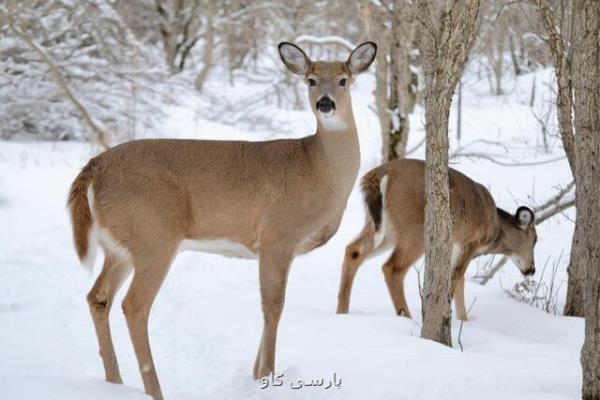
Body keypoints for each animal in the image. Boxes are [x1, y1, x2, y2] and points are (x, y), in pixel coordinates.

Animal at [68, 41, 378, 400]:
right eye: (311, 80)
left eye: (343, 80)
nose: (325, 103)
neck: (317, 170)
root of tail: (94, 167)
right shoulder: (278, 235)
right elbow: (273, 305)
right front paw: (267, 376)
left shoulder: (279, 247)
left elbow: (270, 304)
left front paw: (256, 376)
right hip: (154, 236)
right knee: (134, 305)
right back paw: (153, 390)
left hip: (119, 245)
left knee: (98, 297)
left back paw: (113, 383)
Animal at [336, 158, 536, 320]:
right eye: (535, 240)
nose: (532, 269)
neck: (494, 228)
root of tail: (378, 175)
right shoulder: (471, 242)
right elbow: (456, 278)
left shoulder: (455, 245)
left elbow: (460, 281)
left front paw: (463, 320)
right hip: (414, 229)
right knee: (392, 268)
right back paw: (407, 317)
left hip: (382, 228)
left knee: (353, 250)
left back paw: (342, 312)